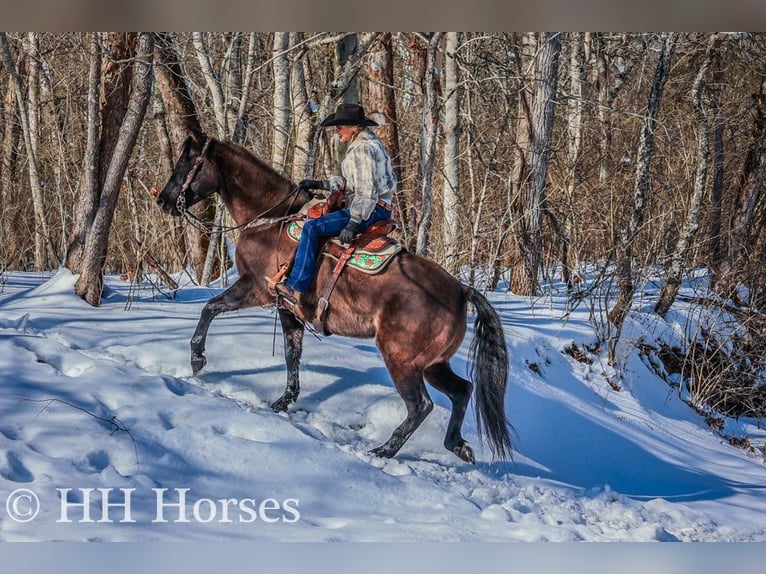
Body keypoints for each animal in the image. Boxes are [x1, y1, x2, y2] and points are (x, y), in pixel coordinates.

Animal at [155, 130, 513, 463]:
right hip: (434, 364)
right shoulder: (289, 309)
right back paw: (457, 445)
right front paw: (284, 401)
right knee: (462, 391)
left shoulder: (255, 288)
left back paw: (383, 450)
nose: (163, 200)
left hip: (402, 360)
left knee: (420, 406)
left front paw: (197, 359)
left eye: (187, 161)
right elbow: (292, 354)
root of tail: (460, 290)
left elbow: (210, 308)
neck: (271, 217)